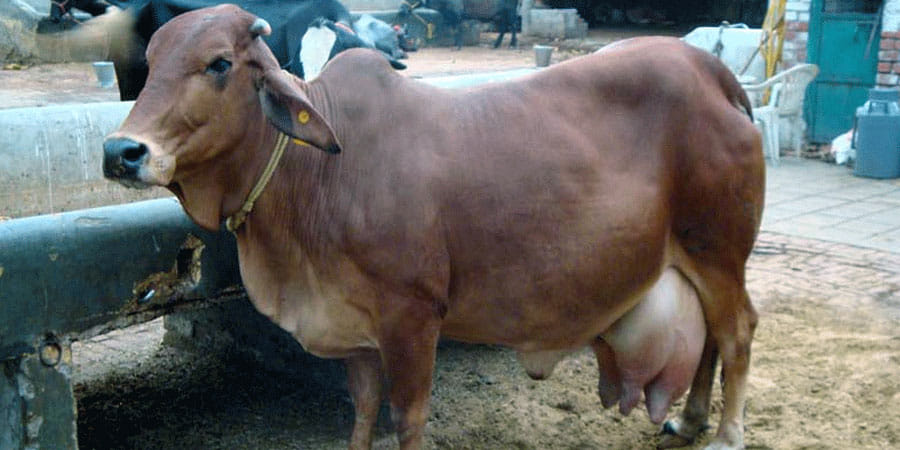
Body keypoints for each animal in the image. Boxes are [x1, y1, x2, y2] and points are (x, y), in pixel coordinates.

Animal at [102, 5, 764, 449]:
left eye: (219, 64)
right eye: (149, 64)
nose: (121, 152)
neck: (316, 172)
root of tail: (710, 69)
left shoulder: (413, 317)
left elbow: (407, 417)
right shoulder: (353, 327)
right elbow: (364, 409)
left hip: (718, 250)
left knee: (736, 332)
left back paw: (726, 432)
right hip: (699, 259)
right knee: (710, 336)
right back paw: (690, 418)